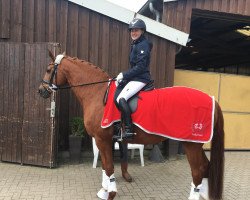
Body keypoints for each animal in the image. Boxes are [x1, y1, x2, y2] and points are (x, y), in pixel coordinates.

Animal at [39, 53, 225, 200]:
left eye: (48, 70)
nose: (41, 90)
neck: (97, 93)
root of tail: (211, 99)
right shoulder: (105, 140)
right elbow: (105, 166)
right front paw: (105, 190)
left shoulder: (102, 139)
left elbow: (108, 167)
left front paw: (111, 193)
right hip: (196, 144)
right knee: (205, 167)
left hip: (191, 144)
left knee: (197, 171)